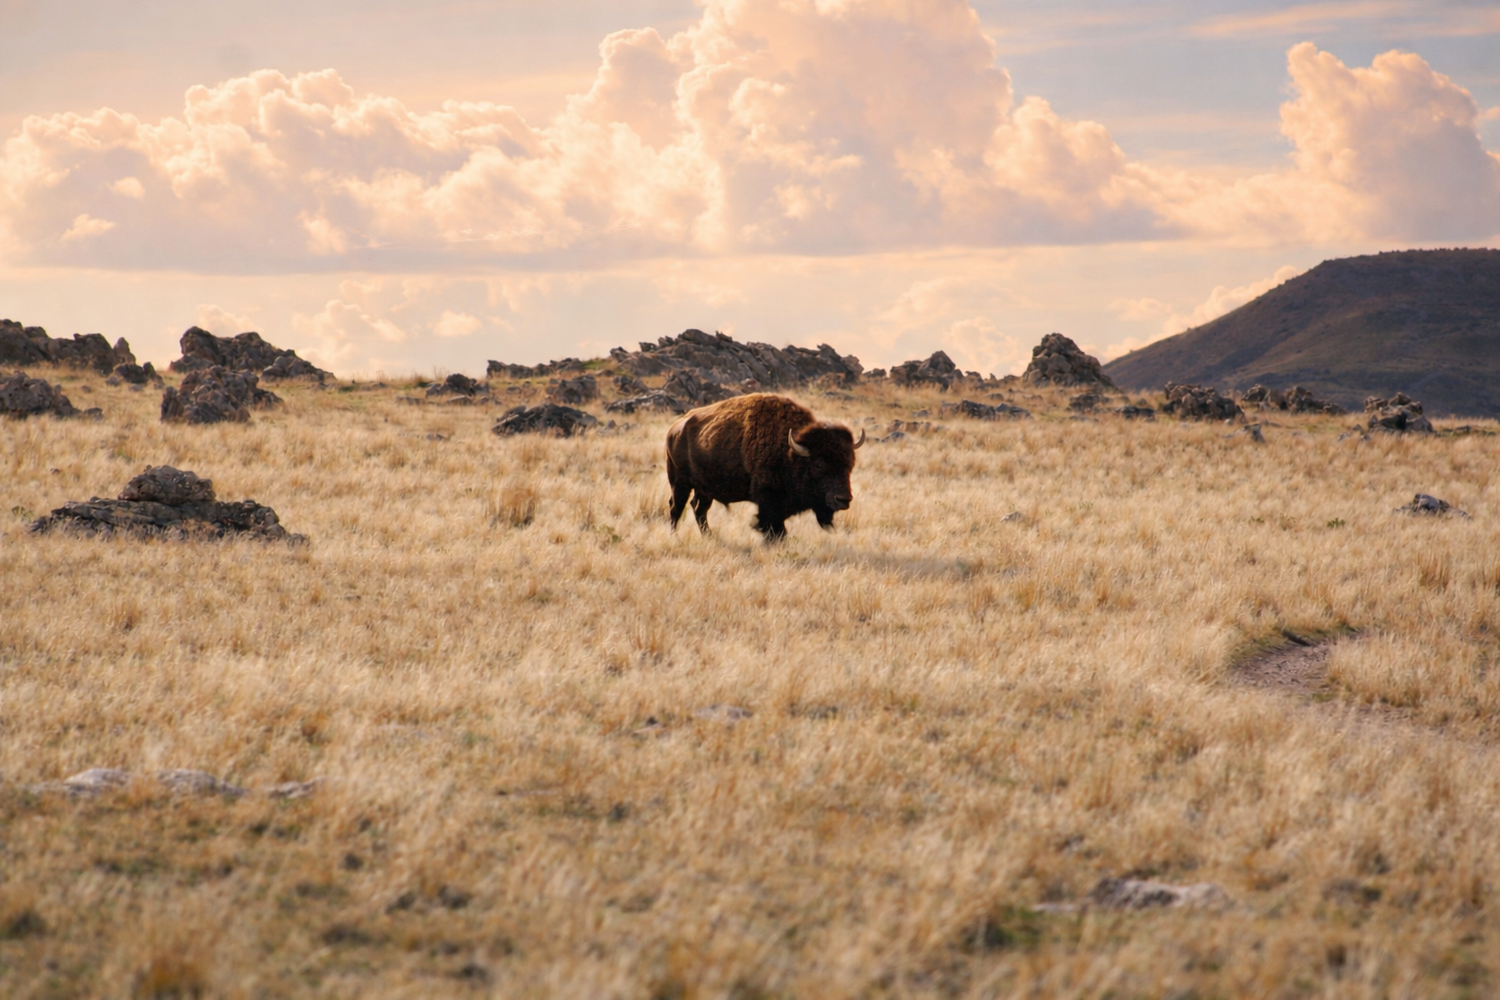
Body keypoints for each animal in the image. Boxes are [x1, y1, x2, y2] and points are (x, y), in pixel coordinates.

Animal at [666, 393, 864, 540]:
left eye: (850, 464)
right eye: (819, 464)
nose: (843, 499)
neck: (789, 451)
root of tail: (674, 428)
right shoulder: (768, 500)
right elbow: (774, 528)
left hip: (705, 489)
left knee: (699, 509)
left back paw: (709, 536)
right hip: (680, 483)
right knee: (676, 508)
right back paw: (675, 536)